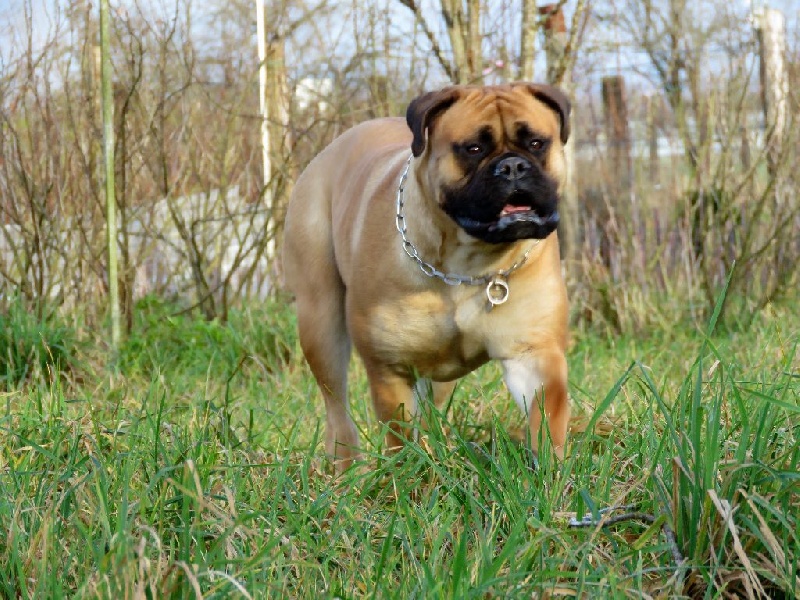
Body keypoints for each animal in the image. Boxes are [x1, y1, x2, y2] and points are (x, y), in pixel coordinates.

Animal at [282, 82, 568, 472]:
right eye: (473, 148)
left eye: (537, 143)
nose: (512, 166)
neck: (469, 264)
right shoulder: (392, 370)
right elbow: (402, 437)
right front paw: (411, 476)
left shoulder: (532, 355)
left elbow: (547, 423)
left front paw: (552, 477)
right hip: (320, 323)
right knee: (337, 407)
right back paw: (346, 467)